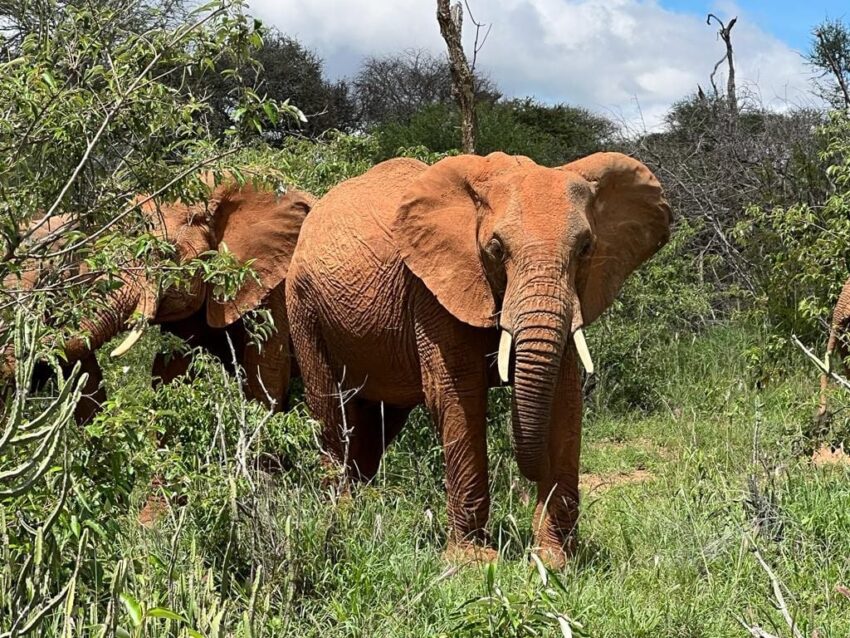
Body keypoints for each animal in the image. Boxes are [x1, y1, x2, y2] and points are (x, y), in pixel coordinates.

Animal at [286, 151, 671, 566]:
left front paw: (555, 561)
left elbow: (564, 399)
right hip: (303, 306)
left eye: (585, 248)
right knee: (329, 410)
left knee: (375, 424)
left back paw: (361, 511)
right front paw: (473, 561)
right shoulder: (432, 289)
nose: (531, 482)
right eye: (496, 249)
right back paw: (341, 517)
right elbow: (458, 395)